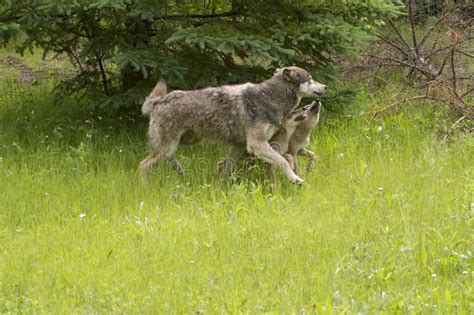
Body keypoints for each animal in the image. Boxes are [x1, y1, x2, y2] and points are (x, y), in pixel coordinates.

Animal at [139, 67, 328, 185]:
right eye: (310, 78)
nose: (326, 86)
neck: (270, 97)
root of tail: (160, 100)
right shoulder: (257, 145)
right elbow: (283, 162)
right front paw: (296, 179)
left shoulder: (239, 147)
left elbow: (226, 169)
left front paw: (221, 189)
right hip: (169, 146)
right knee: (143, 165)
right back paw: (146, 187)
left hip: (184, 142)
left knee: (166, 157)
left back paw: (179, 170)